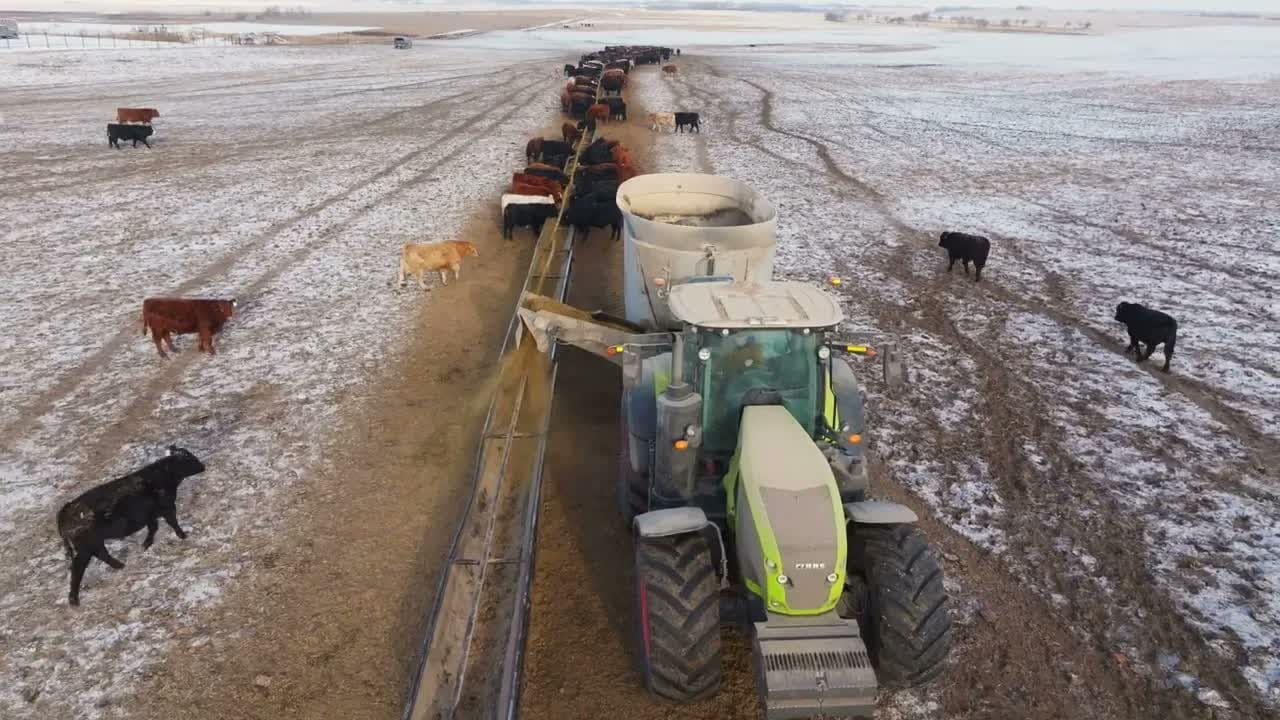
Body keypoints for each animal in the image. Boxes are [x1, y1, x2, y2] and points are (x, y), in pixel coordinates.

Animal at [57, 445, 205, 606]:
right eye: (189, 459)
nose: (203, 466)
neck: (162, 475)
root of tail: (66, 510)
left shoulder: (151, 515)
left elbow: (153, 528)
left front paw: (146, 544)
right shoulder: (167, 507)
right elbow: (172, 522)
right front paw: (183, 535)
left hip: (93, 544)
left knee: (102, 554)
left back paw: (120, 566)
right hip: (86, 547)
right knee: (78, 568)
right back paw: (74, 599)